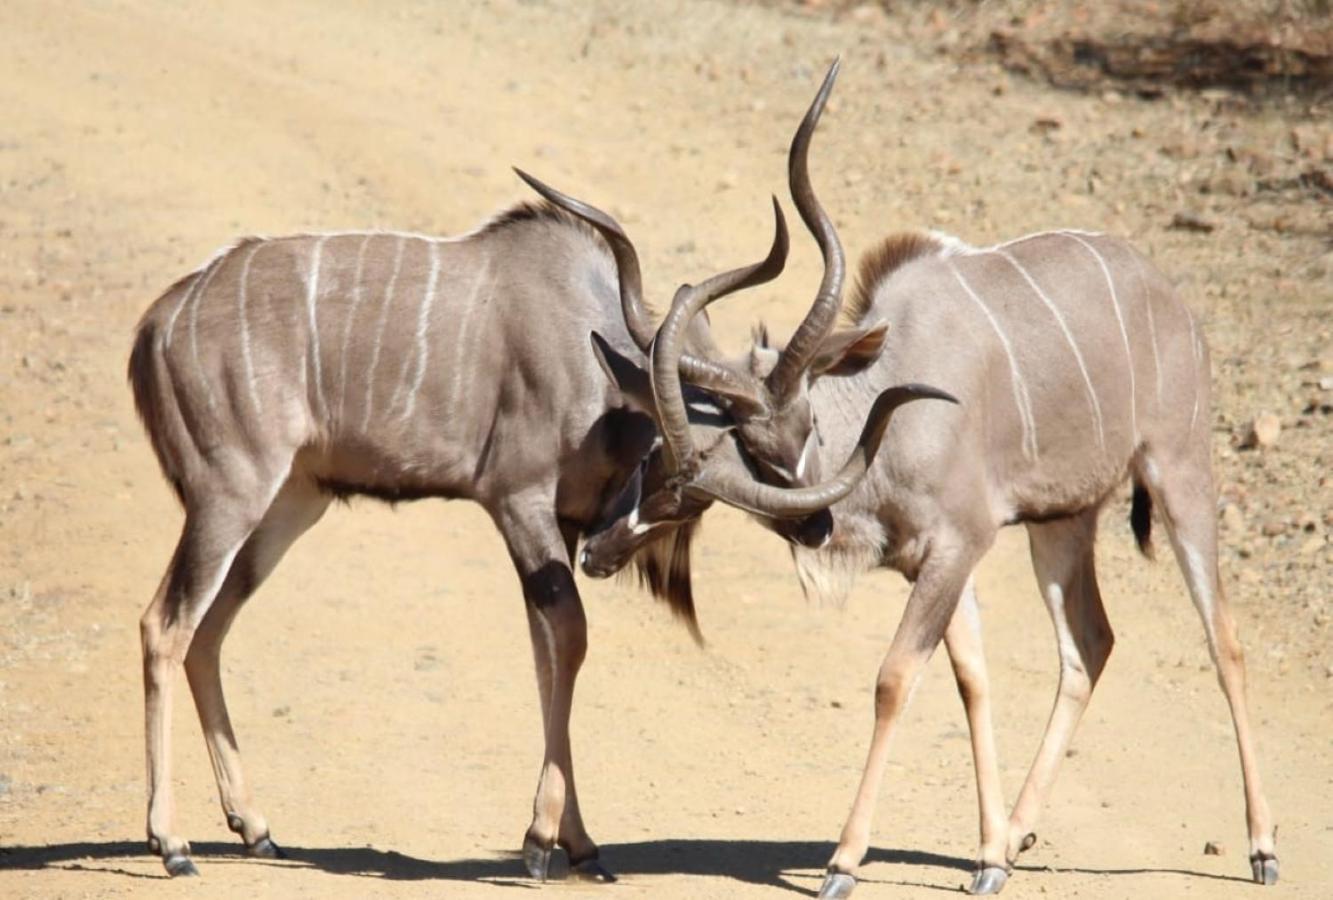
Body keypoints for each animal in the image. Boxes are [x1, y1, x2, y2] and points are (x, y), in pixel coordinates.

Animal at [127, 174, 917, 880]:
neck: (584, 349)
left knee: (207, 630)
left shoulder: (559, 526)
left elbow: (548, 655)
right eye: (667, 466)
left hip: (290, 504)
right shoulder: (519, 503)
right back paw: (171, 844)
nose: (815, 523)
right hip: (230, 495)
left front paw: (579, 846)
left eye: (806, 427)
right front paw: (544, 843)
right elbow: (568, 638)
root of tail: (160, 321)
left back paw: (256, 828)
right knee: (165, 623)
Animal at [567, 61, 1274, 896]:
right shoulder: (936, 563)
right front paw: (989, 854)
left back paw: (1261, 847)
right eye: (655, 466)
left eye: (697, 489)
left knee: (1222, 640)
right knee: (1089, 644)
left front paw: (844, 861)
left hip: (1178, 473)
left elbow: (895, 678)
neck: (889, 402)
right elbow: (970, 677)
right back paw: (1021, 831)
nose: (595, 555)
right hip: (1060, 523)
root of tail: (1170, 300)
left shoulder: (954, 547)